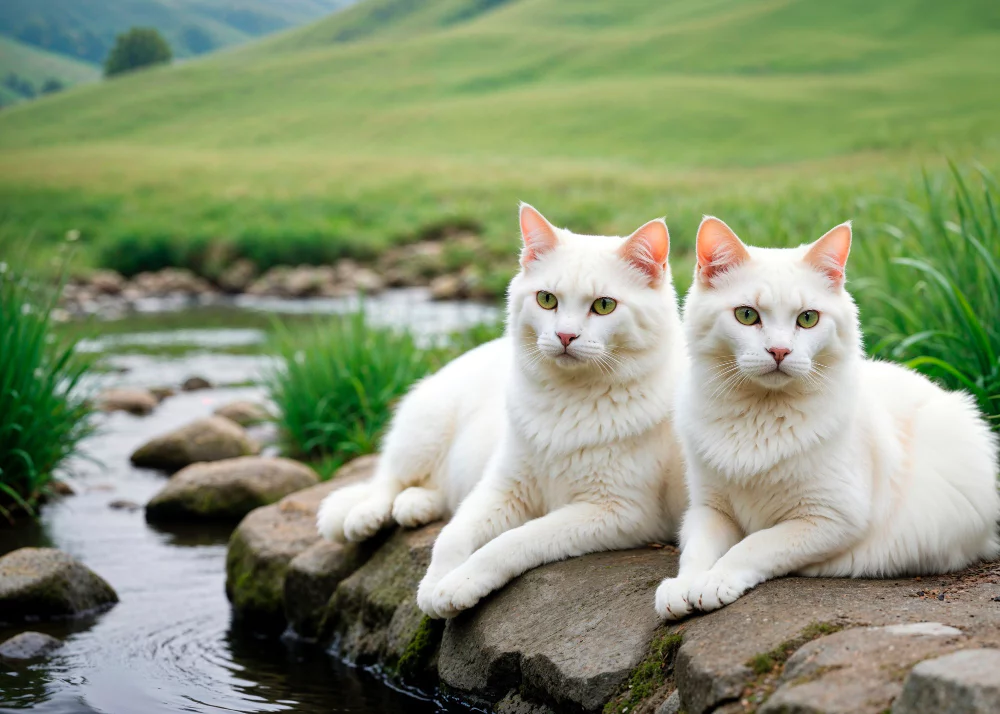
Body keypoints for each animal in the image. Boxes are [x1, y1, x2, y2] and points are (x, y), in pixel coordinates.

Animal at [656, 216, 1000, 616]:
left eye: (808, 319)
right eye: (746, 315)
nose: (779, 351)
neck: (760, 417)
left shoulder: (831, 518)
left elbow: (753, 545)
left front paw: (715, 580)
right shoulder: (708, 509)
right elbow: (695, 552)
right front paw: (682, 586)